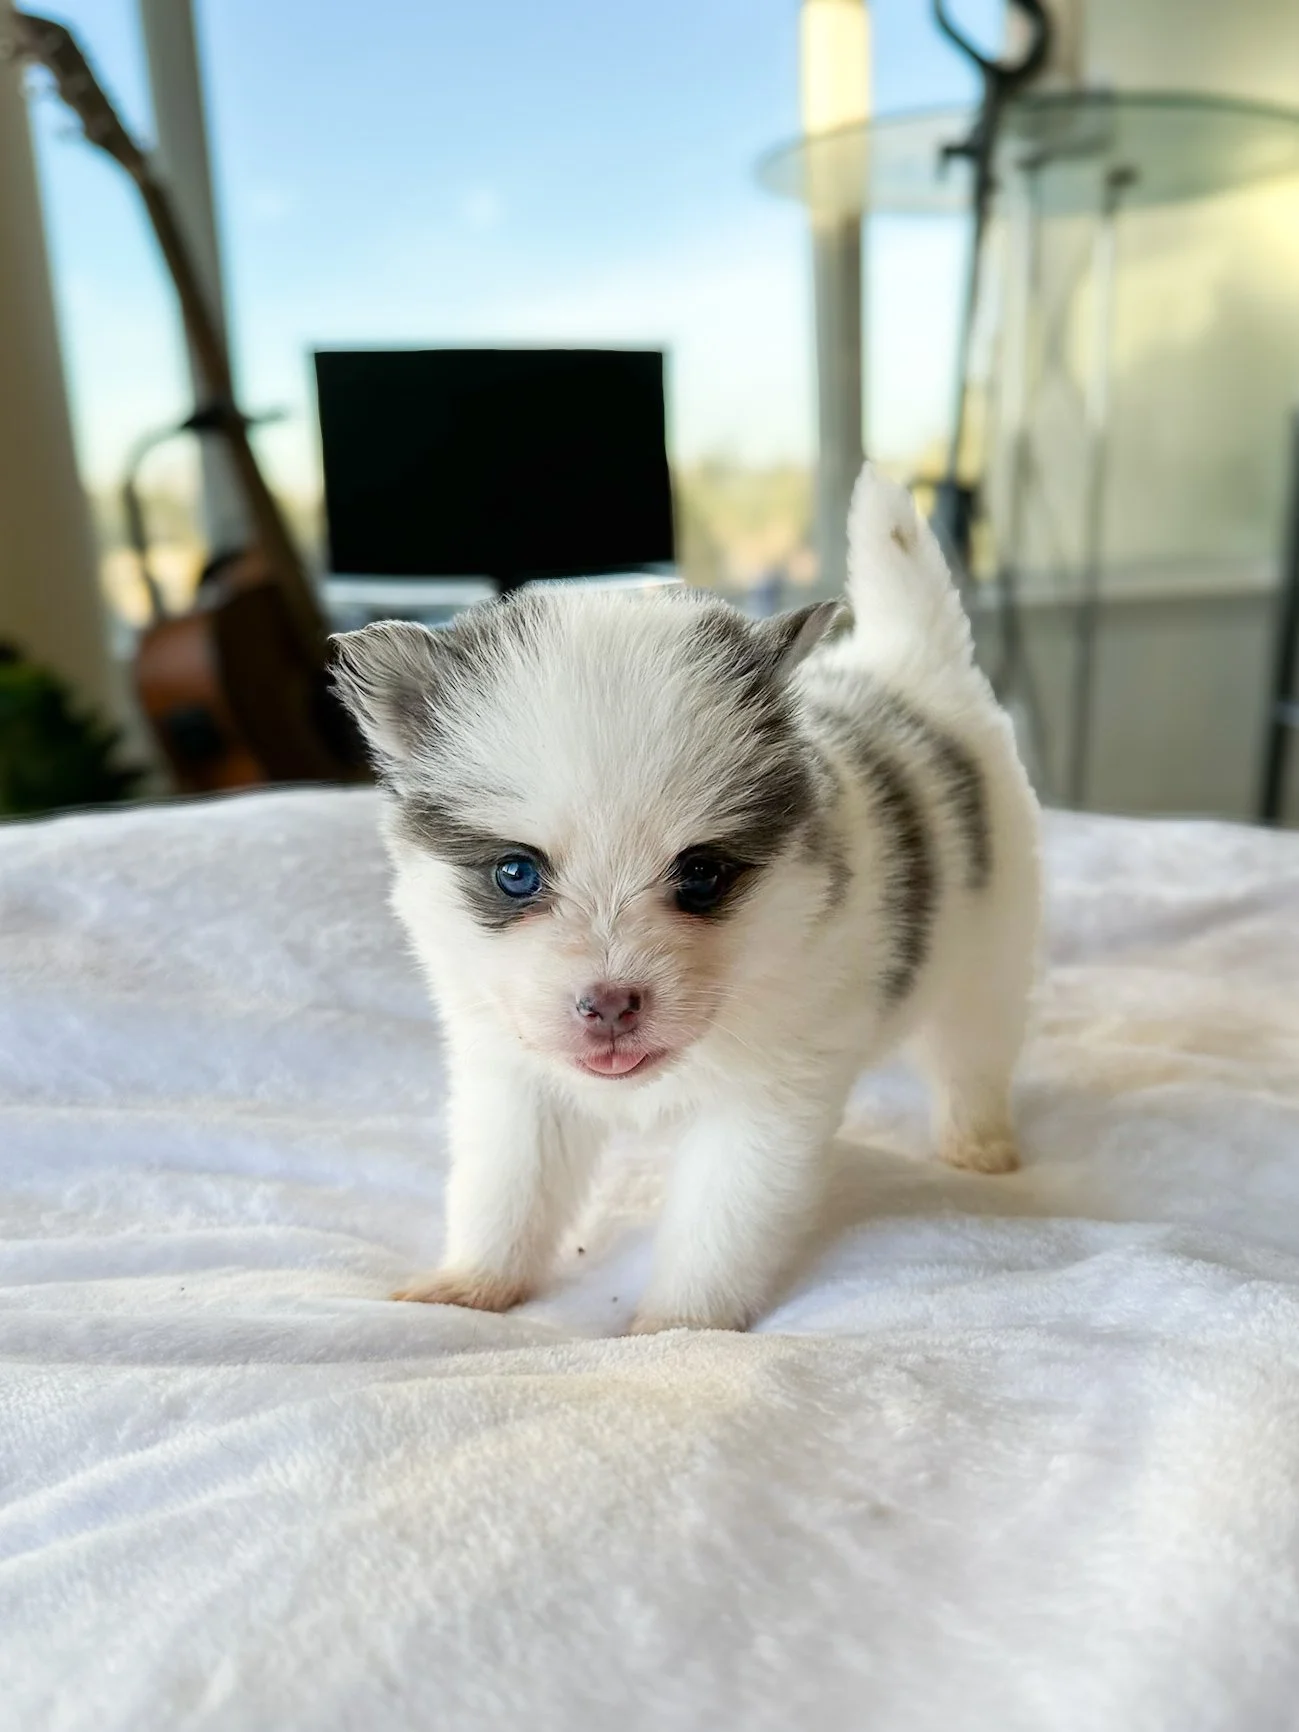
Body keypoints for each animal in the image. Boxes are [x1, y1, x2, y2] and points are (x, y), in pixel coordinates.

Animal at [331, 463, 1041, 1333]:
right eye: (515, 873)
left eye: (700, 874)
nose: (609, 1003)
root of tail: (906, 664)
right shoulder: (514, 1077)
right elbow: (506, 1187)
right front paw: (471, 1284)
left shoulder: (765, 1103)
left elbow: (718, 1224)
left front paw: (677, 1329)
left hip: (990, 948)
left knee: (972, 1053)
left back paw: (979, 1145)